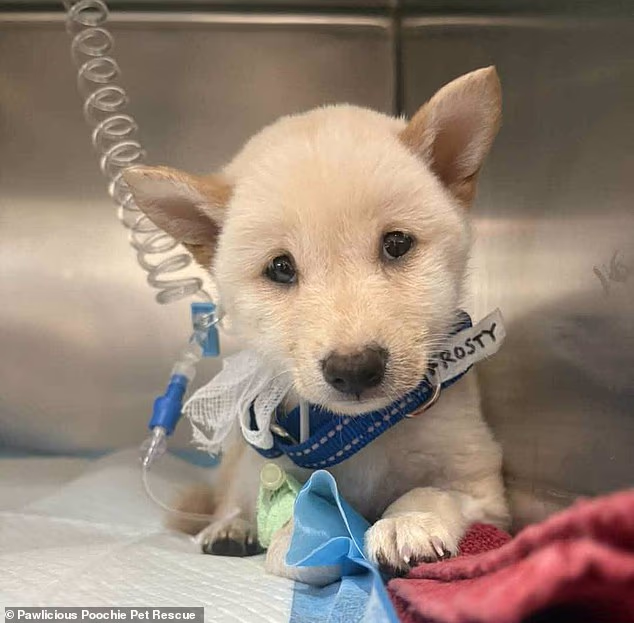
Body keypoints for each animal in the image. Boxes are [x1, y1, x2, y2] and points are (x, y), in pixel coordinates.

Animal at [124, 66, 509, 582]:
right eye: (280, 268)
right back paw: (229, 527)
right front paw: (306, 538)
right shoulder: (276, 467)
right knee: (231, 498)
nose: (355, 368)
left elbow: (431, 491)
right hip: (243, 461)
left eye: (396, 244)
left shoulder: (481, 487)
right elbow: (294, 512)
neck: (357, 431)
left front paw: (409, 522)